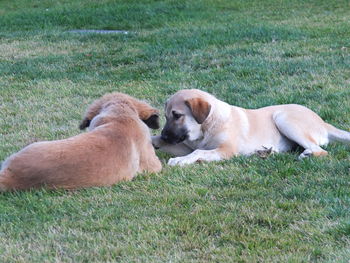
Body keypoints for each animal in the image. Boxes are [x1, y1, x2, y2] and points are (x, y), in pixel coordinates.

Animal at [153, 89, 350, 166]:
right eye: (166, 116)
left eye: (177, 115)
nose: (164, 136)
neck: (206, 128)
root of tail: (323, 122)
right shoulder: (184, 145)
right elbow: (192, 149)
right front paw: (154, 141)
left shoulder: (226, 150)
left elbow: (198, 152)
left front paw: (180, 161)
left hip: (283, 118)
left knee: (321, 151)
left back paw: (306, 154)